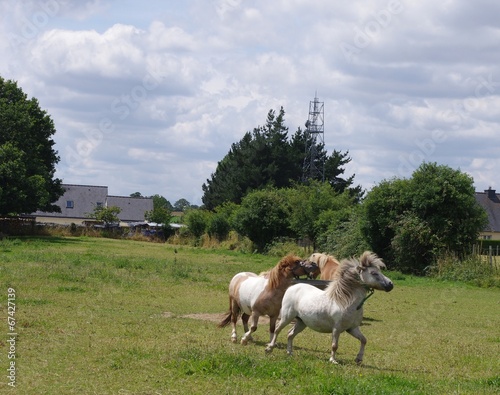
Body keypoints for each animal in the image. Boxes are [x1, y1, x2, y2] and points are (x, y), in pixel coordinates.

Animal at [266, 252, 394, 366]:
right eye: (374, 273)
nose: (390, 285)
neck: (345, 301)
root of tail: (292, 287)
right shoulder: (336, 329)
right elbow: (334, 345)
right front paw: (333, 360)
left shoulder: (352, 328)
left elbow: (364, 340)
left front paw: (358, 359)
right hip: (286, 317)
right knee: (277, 330)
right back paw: (269, 348)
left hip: (301, 322)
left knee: (290, 334)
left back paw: (290, 352)